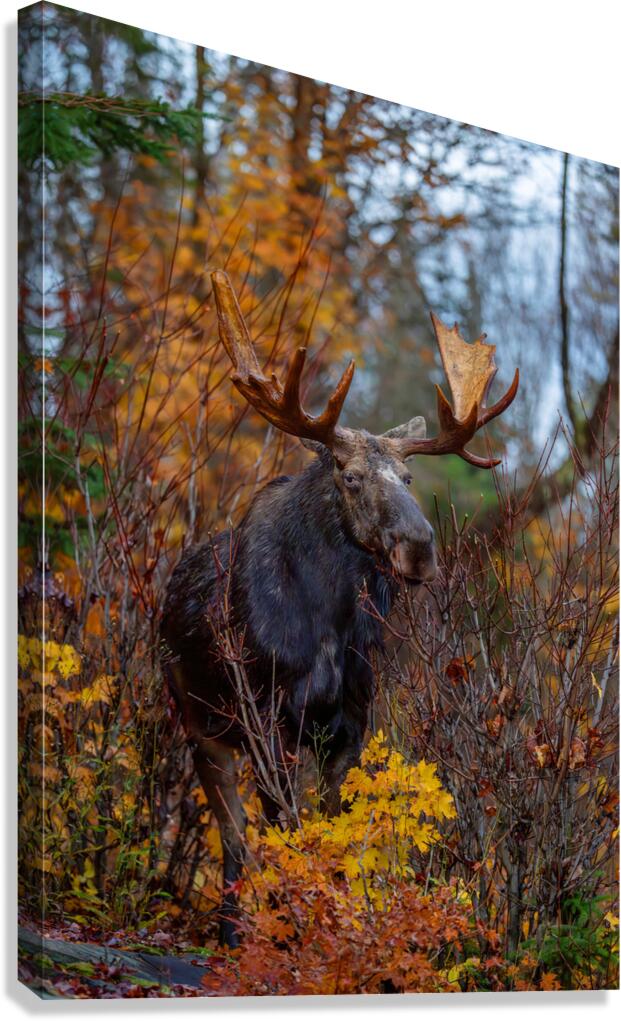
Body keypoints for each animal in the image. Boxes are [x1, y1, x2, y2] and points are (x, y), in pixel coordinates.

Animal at [160, 270, 519, 946]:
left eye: (409, 479)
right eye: (350, 477)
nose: (420, 548)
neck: (327, 623)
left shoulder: (350, 724)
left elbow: (336, 841)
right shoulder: (266, 722)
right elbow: (285, 833)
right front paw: (287, 931)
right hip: (200, 727)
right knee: (233, 836)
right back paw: (229, 932)